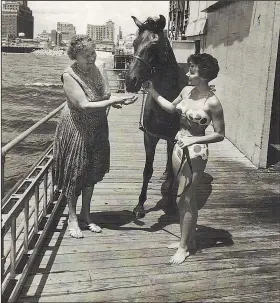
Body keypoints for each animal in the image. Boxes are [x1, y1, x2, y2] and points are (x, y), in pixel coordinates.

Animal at [126, 14, 188, 218]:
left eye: (153, 46)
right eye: (134, 43)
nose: (130, 81)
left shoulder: (174, 138)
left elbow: (175, 170)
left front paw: (171, 204)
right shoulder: (150, 136)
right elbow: (147, 170)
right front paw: (140, 205)